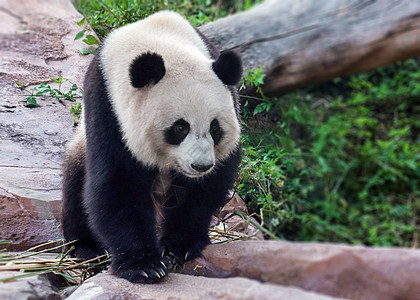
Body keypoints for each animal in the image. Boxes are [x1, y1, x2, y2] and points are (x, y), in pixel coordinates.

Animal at [60, 11, 241, 284]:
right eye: (180, 127)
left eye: (215, 127)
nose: (200, 165)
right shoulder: (107, 109)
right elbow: (117, 182)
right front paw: (144, 265)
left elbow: (206, 187)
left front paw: (178, 246)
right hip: (82, 140)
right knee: (76, 182)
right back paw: (85, 246)